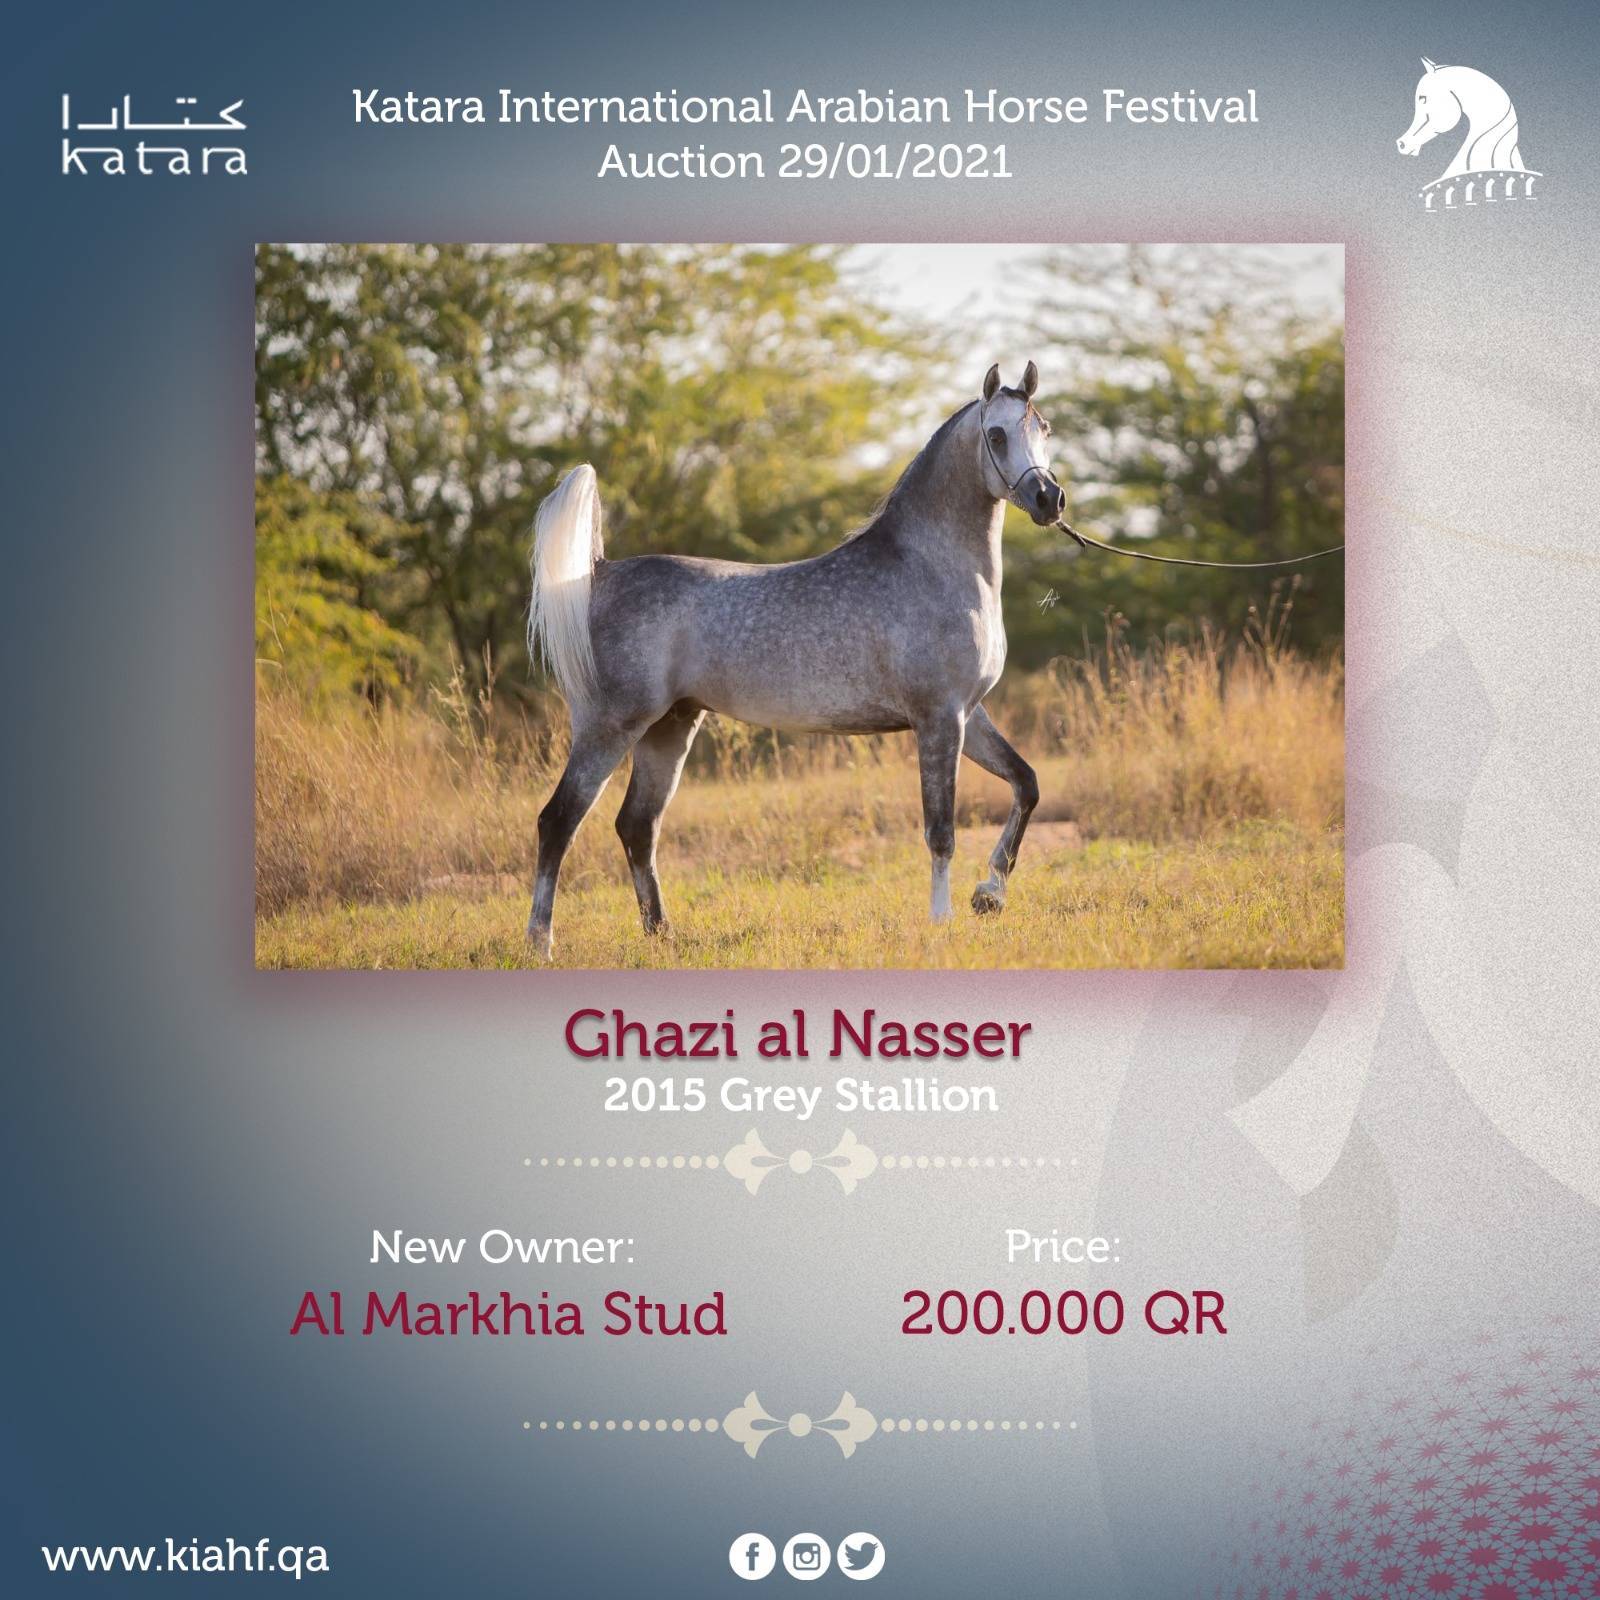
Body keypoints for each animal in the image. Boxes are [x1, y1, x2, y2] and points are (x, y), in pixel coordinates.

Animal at [523, 362, 1066, 960]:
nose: (1048, 498)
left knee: (638, 826)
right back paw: (541, 943)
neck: (932, 567)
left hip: (670, 727)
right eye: (996, 435)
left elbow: (1026, 783)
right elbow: (940, 829)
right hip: (610, 727)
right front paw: (942, 919)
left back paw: (662, 934)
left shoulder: (970, 714)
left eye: (1044, 427)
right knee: (559, 821)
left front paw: (989, 894)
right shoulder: (939, 719)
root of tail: (598, 573)